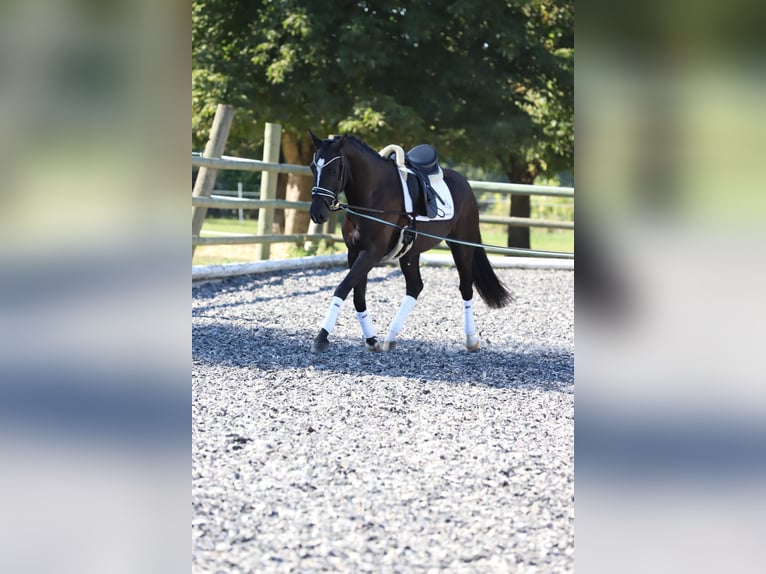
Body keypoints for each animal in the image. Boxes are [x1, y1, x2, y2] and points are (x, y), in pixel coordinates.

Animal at [307, 130, 511, 353]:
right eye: (312, 167)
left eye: (333, 169)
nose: (317, 213)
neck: (374, 193)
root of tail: (465, 183)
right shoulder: (354, 252)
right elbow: (358, 296)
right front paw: (371, 340)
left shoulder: (371, 253)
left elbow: (343, 288)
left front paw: (321, 337)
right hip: (410, 252)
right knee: (415, 287)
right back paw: (390, 338)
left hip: (462, 246)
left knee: (465, 287)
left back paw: (471, 340)